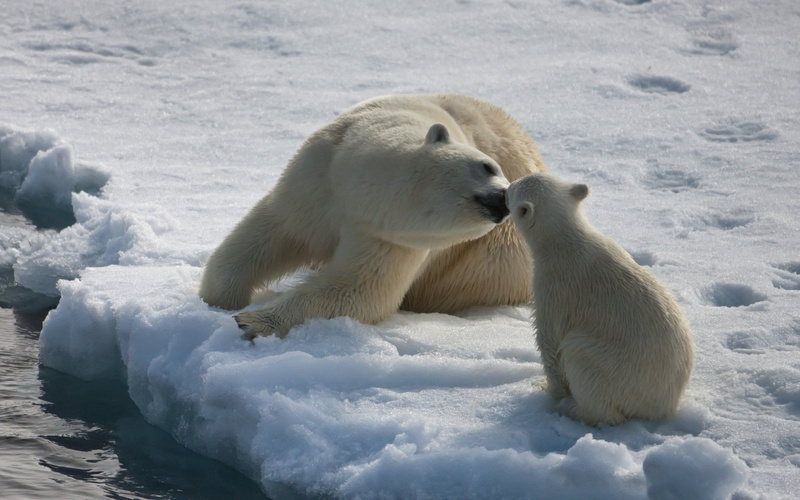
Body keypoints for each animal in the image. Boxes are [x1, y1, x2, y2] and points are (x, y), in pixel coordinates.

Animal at [199, 94, 545, 338]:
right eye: (487, 166)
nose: (504, 200)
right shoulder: (318, 179)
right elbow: (273, 233)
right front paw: (220, 301)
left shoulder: (390, 238)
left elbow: (358, 290)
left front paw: (252, 320)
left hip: (494, 265)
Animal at [506, 173, 694, 425]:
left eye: (514, 188)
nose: (505, 187)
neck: (564, 240)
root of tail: (662, 408)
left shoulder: (554, 285)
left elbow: (550, 339)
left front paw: (550, 388)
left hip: (614, 369)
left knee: (580, 357)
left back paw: (573, 408)